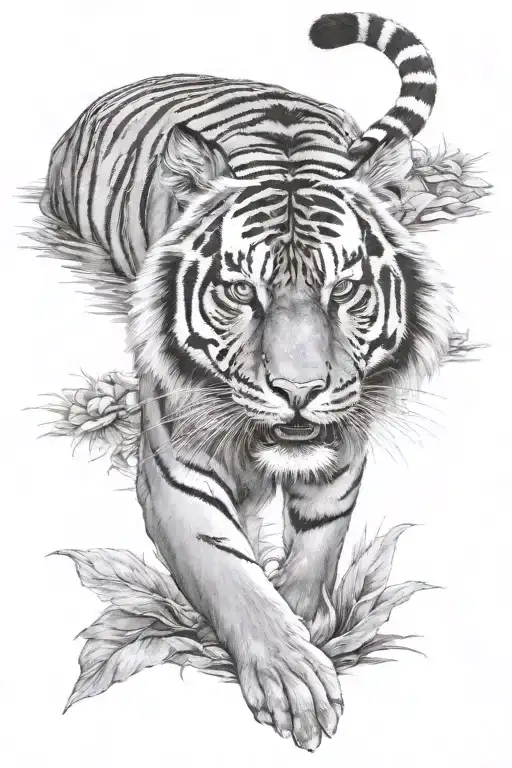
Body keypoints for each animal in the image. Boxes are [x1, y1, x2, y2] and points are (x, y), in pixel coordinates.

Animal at [36, 10, 459, 752]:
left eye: (343, 291)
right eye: (242, 292)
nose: (299, 391)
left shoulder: (342, 449)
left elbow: (319, 540)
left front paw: (307, 619)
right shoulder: (177, 471)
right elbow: (228, 573)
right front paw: (293, 676)